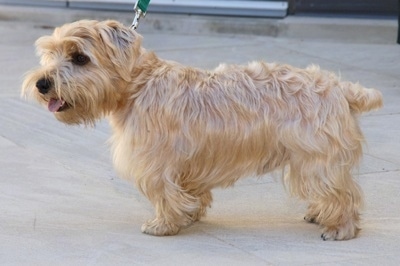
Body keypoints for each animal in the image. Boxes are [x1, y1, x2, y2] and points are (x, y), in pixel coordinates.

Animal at [22, 19, 384, 240]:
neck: (138, 84)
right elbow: (189, 191)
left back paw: (341, 229)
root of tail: (340, 86)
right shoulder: (186, 164)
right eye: (50, 53)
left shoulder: (155, 164)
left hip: (316, 161)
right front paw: (189, 215)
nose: (42, 83)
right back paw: (321, 215)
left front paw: (163, 225)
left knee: (344, 194)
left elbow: (163, 194)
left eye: (80, 58)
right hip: (310, 162)